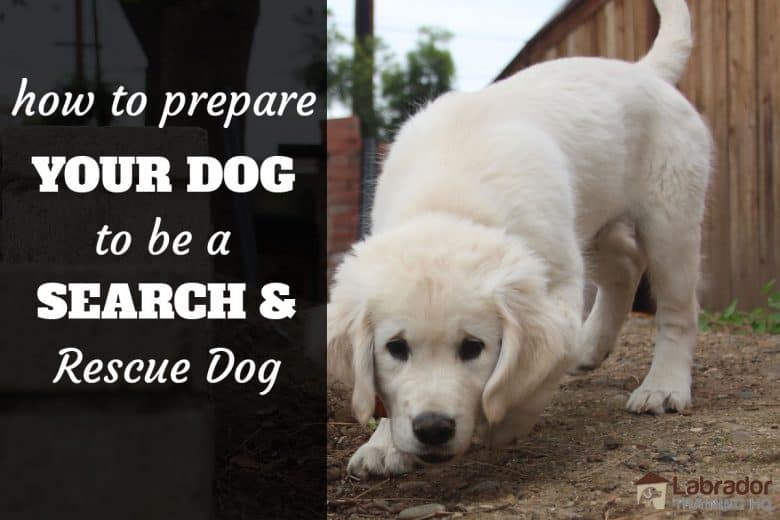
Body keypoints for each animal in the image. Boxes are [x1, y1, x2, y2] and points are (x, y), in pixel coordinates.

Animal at [330, 0, 712, 480]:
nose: (433, 429)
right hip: (592, 220)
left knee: (678, 309)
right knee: (625, 266)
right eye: (395, 348)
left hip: (670, 218)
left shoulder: (559, 282)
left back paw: (663, 386)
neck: (452, 203)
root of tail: (645, 71)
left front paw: (505, 418)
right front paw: (383, 443)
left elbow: (536, 368)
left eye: (473, 348)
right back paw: (591, 346)